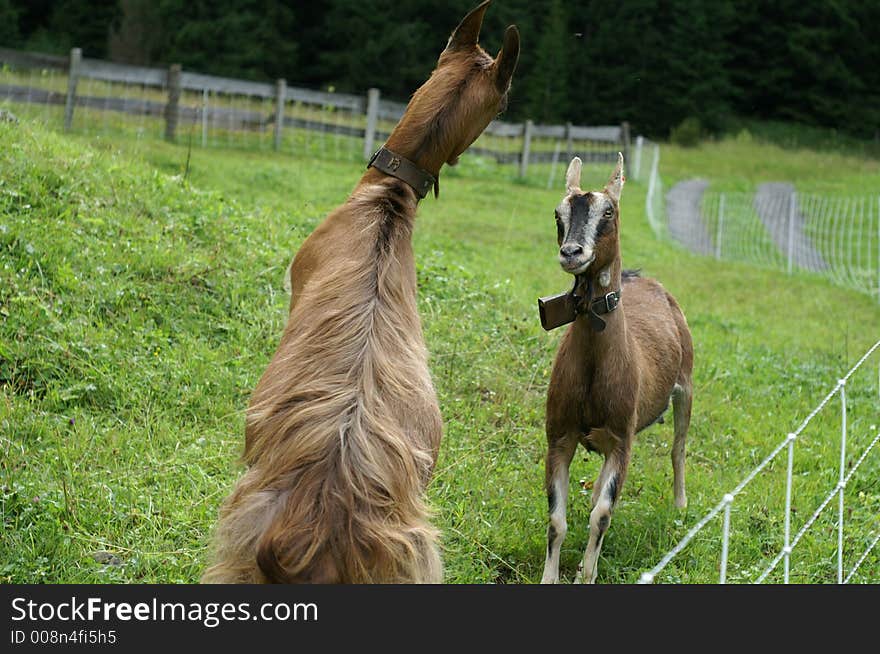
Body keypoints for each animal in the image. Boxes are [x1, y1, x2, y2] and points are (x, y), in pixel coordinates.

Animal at [536, 154, 696, 584]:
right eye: (558, 213)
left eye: (608, 212)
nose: (572, 252)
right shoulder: (559, 436)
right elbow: (556, 520)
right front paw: (552, 575)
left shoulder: (623, 438)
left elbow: (602, 516)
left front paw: (586, 574)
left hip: (686, 385)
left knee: (678, 449)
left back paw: (680, 507)